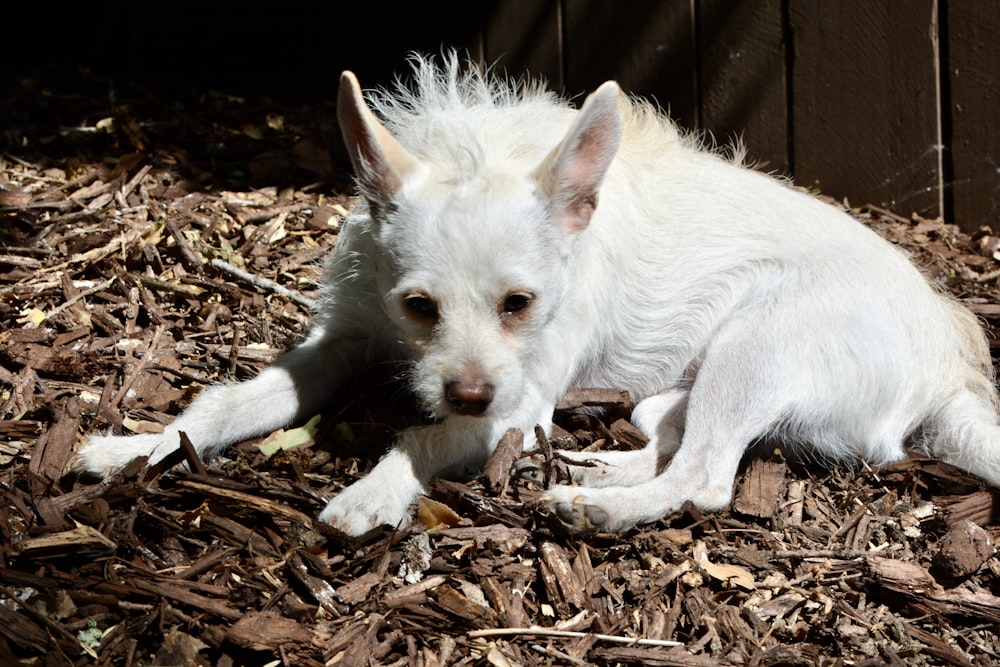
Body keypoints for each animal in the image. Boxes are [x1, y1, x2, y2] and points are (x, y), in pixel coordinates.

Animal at [76, 57, 1000, 536]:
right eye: (419, 306)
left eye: (519, 303)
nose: (468, 389)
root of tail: (950, 371)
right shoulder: (339, 344)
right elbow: (225, 406)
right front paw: (134, 448)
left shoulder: (511, 405)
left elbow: (420, 435)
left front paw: (372, 492)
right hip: (676, 389)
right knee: (669, 440)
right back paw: (587, 467)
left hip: (756, 349)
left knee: (707, 477)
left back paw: (592, 506)